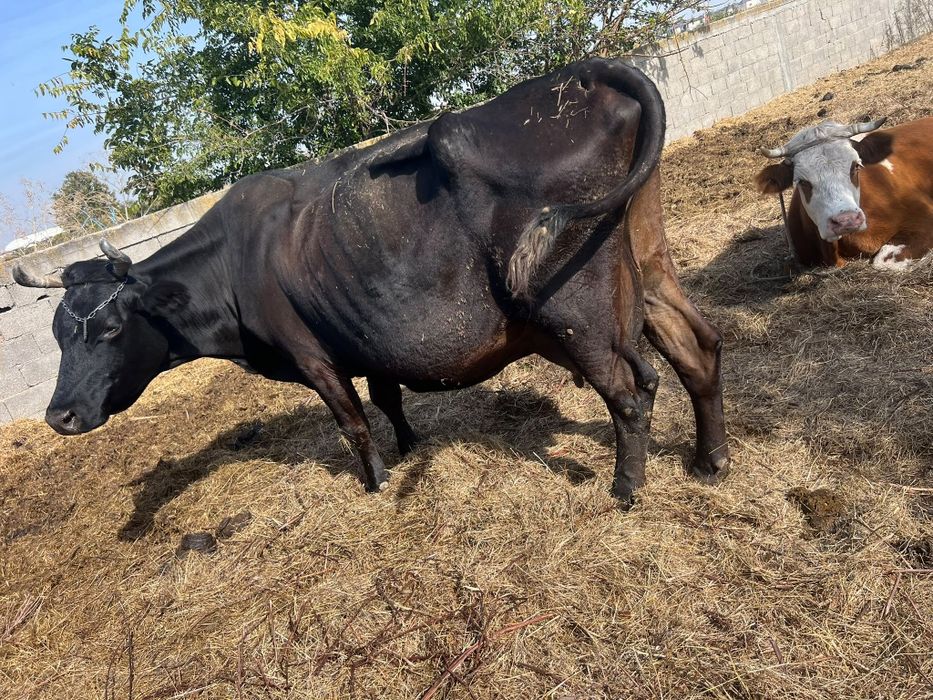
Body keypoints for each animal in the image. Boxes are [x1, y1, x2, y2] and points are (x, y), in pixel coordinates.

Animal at [12, 58, 729, 506]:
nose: (58, 416)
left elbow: (353, 421)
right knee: (696, 347)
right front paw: (410, 447)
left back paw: (626, 488)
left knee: (630, 394)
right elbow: (386, 397)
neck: (235, 268)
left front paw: (379, 479)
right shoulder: (368, 339)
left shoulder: (312, 355)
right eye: (57, 331)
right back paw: (710, 460)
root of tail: (579, 74)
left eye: (108, 328)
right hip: (647, 263)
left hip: (574, 313)